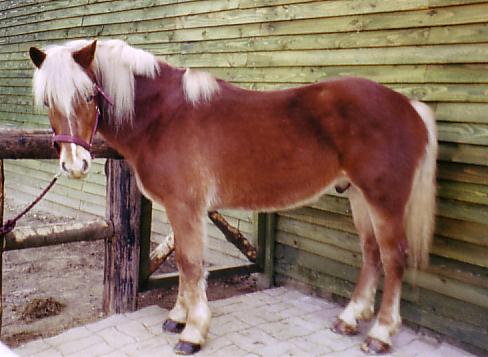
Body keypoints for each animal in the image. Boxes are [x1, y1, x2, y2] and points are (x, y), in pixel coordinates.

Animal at [28, 39, 436, 354]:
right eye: (47, 101)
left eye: (88, 95)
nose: (74, 164)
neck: (163, 116)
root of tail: (408, 106)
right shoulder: (181, 209)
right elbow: (183, 263)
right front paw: (178, 318)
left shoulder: (186, 207)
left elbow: (191, 264)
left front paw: (193, 333)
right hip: (358, 197)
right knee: (371, 254)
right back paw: (349, 319)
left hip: (384, 200)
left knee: (393, 258)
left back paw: (380, 335)